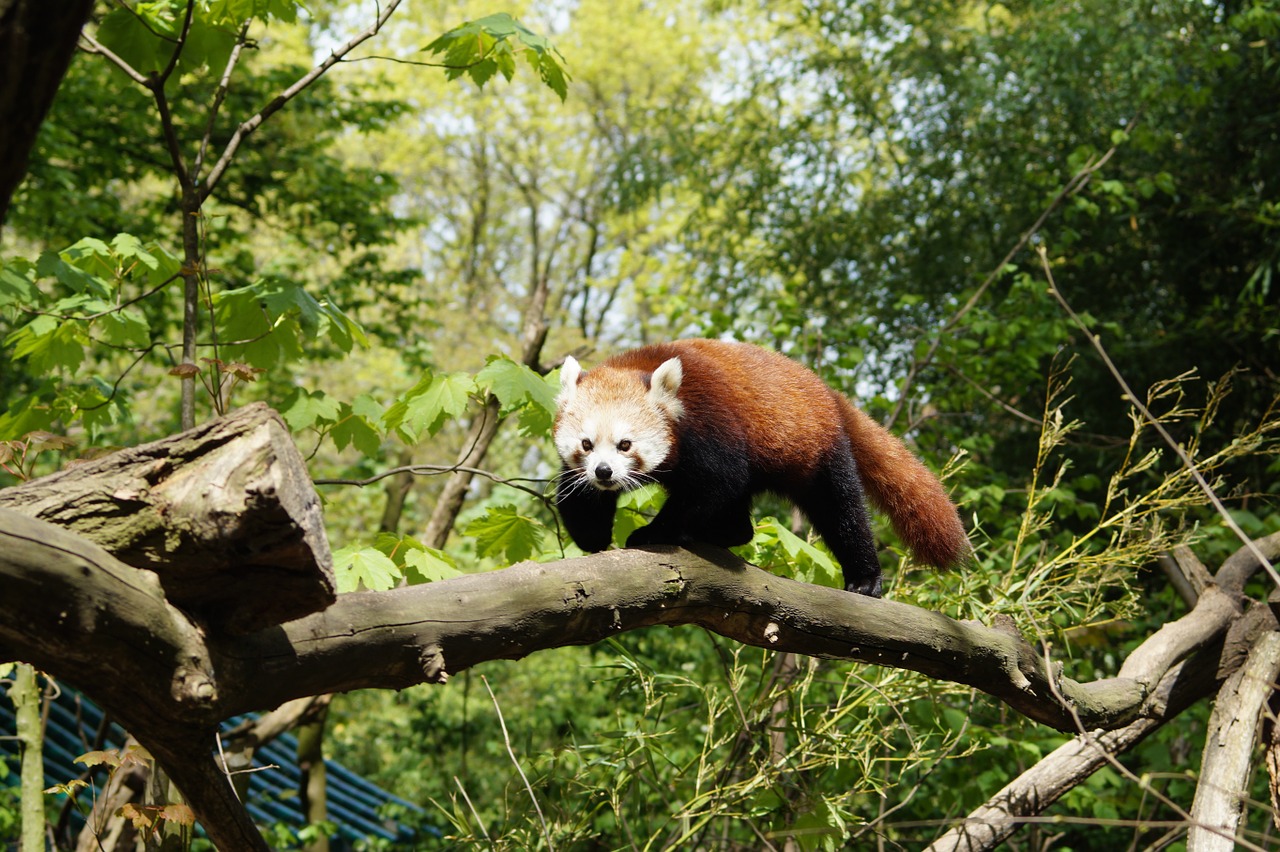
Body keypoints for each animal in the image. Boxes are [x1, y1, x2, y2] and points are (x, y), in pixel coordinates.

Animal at [552, 337, 967, 596]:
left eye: (625, 445)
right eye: (587, 444)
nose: (604, 473)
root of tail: (827, 392)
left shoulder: (712, 425)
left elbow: (715, 484)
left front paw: (654, 532)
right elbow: (579, 498)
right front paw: (593, 536)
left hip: (816, 449)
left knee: (841, 511)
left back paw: (864, 577)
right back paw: (725, 533)